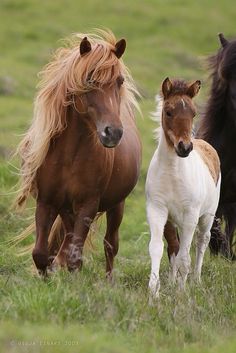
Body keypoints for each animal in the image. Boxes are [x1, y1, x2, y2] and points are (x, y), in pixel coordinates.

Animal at [17, 31, 142, 276]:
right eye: (89, 79)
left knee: (110, 245)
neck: (69, 156)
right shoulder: (46, 202)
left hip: (116, 205)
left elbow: (75, 258)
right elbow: (40, 254)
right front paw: (47, 278)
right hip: (67, 209)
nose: (113, 133)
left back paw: (109, 280)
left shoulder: (88, 205)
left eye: (120, 81)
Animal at [146, 78, 221, 298]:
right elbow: (158, 249)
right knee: (174, 247)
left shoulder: (190, 215)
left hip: (206, 217)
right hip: (173, 221)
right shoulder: (158, 211)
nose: (185, 148)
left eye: (194, 113)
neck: (173, 173)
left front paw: (181, 292)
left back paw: (195, 280)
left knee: (201, 242)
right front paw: (154, 291)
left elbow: (184, 258)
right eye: (168, 111)